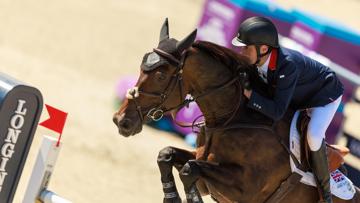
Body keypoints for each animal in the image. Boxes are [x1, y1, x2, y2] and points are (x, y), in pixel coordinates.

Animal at [112, 18, 360, 202]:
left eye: (161, 75)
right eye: (142, 66)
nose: (121, 120)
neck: (228, 120)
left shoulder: (246, 188)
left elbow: (189, 169)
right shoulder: (201, 157)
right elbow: (167, 154)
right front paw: (171, 198)